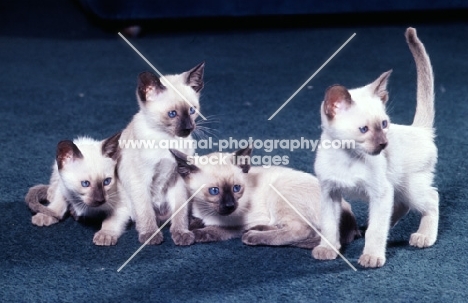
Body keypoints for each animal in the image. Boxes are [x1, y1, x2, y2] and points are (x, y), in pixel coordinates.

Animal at [117, 63, 205, 246]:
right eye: (172, 114)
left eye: (192, 110)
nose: (188, 128)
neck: (167, 141)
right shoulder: (140, 179)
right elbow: (145, 212)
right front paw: (150, 235)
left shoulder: (179, 177)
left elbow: (180, 212)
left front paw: (181, 233)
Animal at [170, 148, 360, 249]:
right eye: (214, 191)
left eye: (236, 188)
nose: (230, 205)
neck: (208, 211)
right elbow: (194, 220)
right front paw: (192, 226)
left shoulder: (243, 220)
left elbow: (221, 228)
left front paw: (198, 233)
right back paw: (259, 229)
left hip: (279, 192)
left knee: (302, 230)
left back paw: (252, 236)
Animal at [310, 26, 438, 268]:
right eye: (364, 129)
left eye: (384, 124)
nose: (384, 144)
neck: (348, 157)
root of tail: (420, 129)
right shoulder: (330, 192)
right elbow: (329, 225)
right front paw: (327, 249)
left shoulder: (380, 192)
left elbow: (376, 231)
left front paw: (371, 257)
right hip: (398, 187)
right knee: (400, 206)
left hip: (410, 187)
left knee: (432, 199)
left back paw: (423, 237)